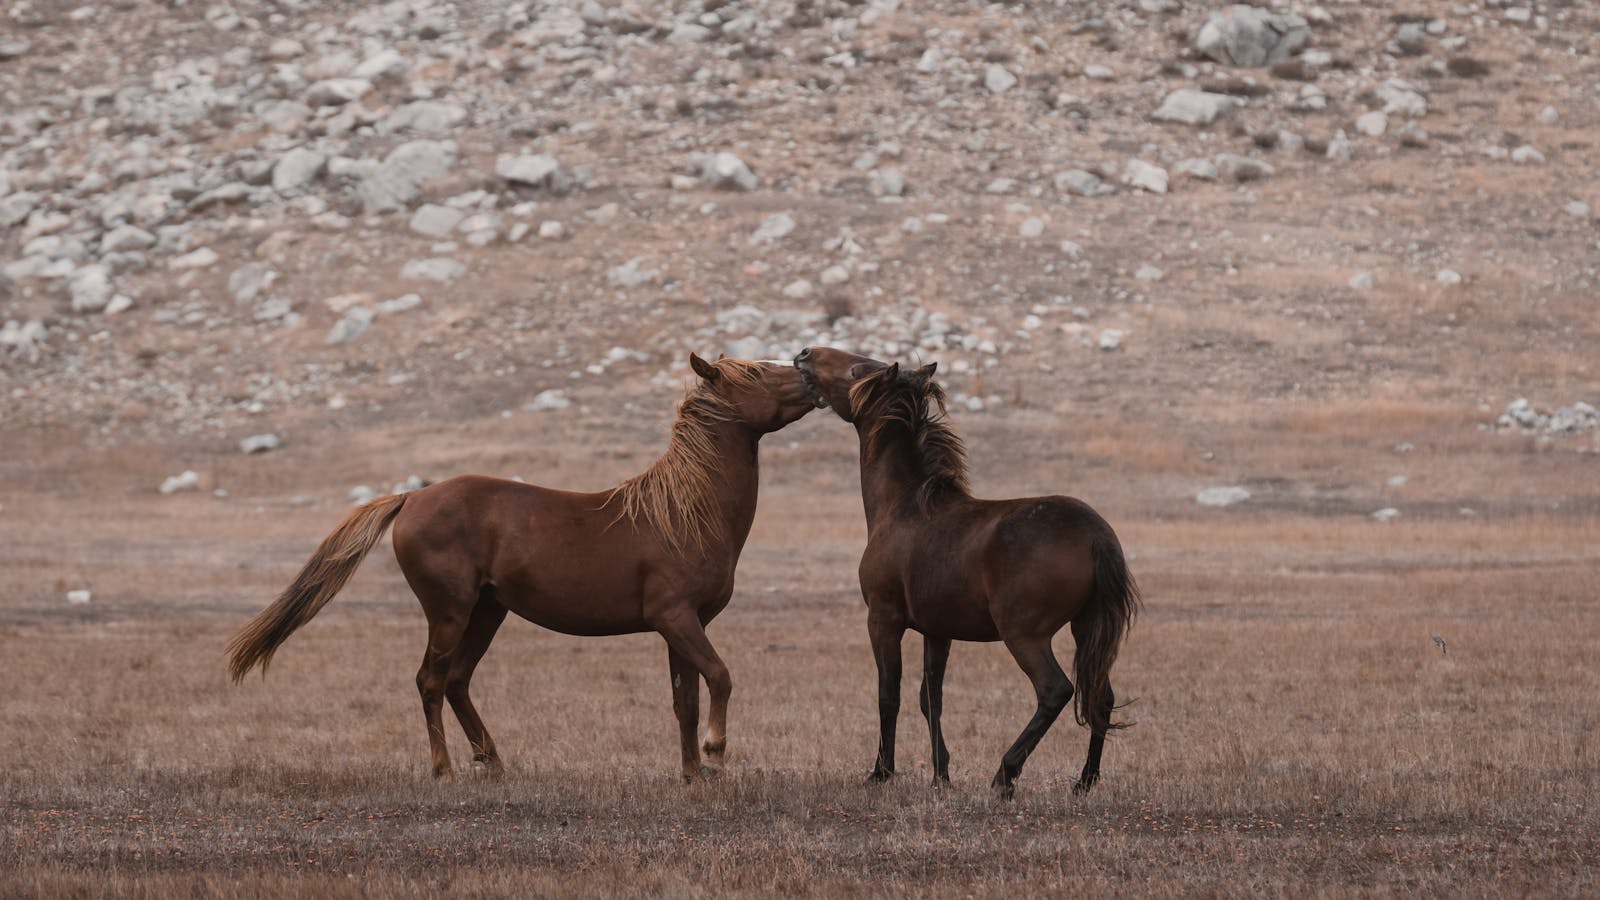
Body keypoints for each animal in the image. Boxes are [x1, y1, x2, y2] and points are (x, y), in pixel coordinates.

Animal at [228, 353, 812, 781]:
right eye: (756, 372)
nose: (808, 372)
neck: (685, 511)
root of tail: (411, 497)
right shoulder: (676, 618)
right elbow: (720, 677)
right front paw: (715, 753)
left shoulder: (686, 625)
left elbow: (684, 700)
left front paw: (693, 776)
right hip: (450, 611)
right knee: (430, 681)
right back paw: (444, 771)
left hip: (488, 611)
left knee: (457, 681)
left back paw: (494, 763)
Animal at [796, 347, 1145, 794]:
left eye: (857, 369)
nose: (805, 354)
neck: (902, 508)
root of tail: (1095, 534)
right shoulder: (937, 631)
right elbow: (931, 699)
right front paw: (940, 776)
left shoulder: (883, 620)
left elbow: (889, 695)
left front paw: (881, 772)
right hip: (1087, 627)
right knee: (1100, 695)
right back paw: (1084, 782)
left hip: (1025, 635)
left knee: (1056, 691)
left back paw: (1005, 775)